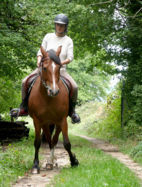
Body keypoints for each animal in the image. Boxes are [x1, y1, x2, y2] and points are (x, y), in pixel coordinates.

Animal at [27, 45, 79, 174]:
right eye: (44, 68)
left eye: (59, 68)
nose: (54, 91)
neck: (48, 98)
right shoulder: (37, 121)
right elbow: (37, 142)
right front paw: (35, 165)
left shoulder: (62, 120)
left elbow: (66, 143)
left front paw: (74, 161)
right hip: (46, 123)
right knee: (50, 141)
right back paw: (50, 162)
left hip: (57, 123)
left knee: (54, 140)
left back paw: (52, 161)